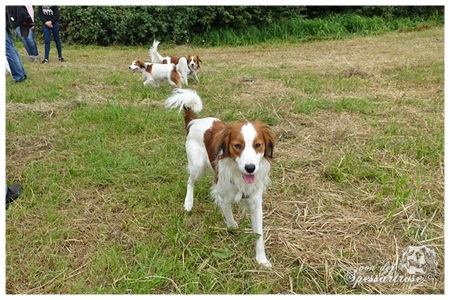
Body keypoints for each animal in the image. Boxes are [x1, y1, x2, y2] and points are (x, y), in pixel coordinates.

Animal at [165, 88, 274, 266]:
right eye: (238, 145)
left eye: (258, 145)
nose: (250, 168)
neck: (238, 174)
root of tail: (194, 121)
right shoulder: (224, 196)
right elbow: (229, 217)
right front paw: (233, 227)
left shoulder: (255, 201)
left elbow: (259, 234)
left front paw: (262, 259)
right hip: (197, 166)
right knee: (190, 181)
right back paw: (188, 202)